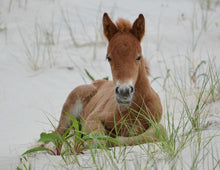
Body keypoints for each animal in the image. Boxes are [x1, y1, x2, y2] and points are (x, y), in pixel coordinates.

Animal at [55, 12, 166, 146]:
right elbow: (98, 139)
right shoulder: (93, 118)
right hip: (69, 112)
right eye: (109, 58)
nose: (124, 92)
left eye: (138, 57)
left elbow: (158, 132)